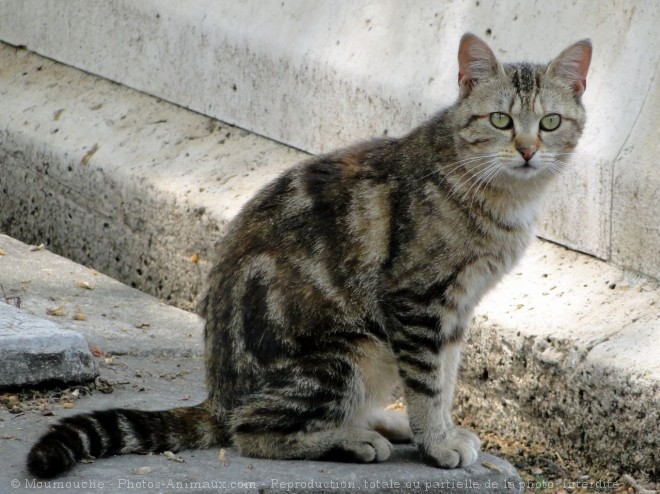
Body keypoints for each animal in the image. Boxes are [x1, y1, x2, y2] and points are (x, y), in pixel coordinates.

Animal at [27, 31, 592, 478]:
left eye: (550, 122)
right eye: (500, 120)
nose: (527, 150)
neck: (499, 197)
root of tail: (218, 396)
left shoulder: (456, 310)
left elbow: (446, 378)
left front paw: (441, 430)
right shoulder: (418, 302)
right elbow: (430, 383)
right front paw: (437, 442)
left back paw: (377, 420)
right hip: (350, 351)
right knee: (252, 431)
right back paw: (352, 439)